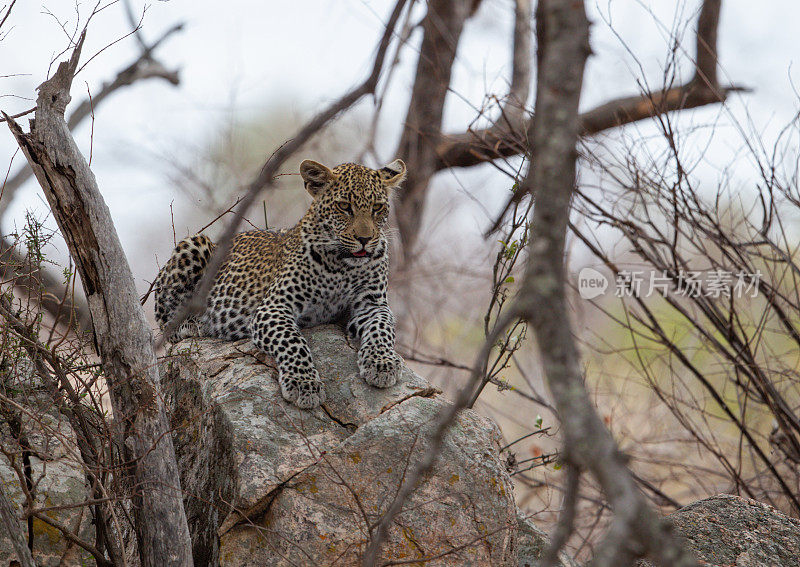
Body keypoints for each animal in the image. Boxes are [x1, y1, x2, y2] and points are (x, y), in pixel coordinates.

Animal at [154, 159, 406, 408]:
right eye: (344, 206)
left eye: (377, 208)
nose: (365, 239)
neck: (342, 266)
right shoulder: (273, 307)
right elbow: (292, 341)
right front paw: (303, 383)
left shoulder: (372, 304)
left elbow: (382, 328)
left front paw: (382, 363)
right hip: (194, 244)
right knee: (166, 325)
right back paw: (195, 323)